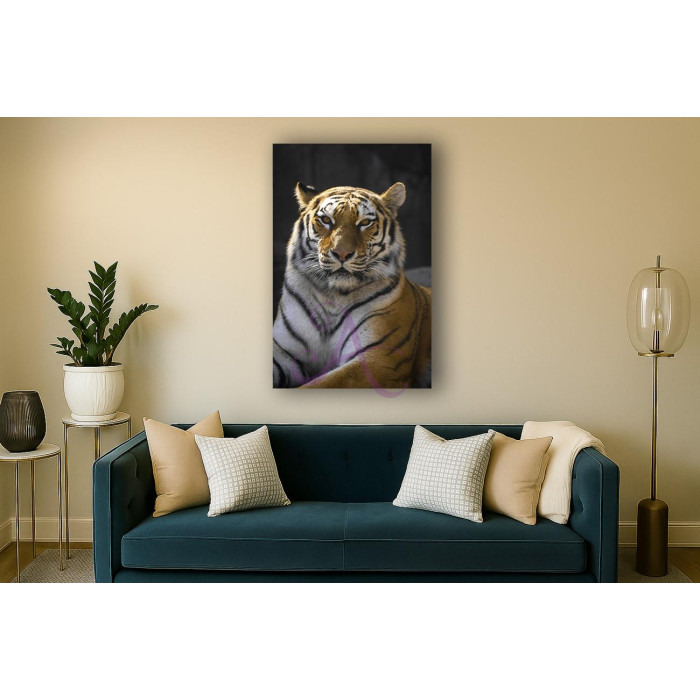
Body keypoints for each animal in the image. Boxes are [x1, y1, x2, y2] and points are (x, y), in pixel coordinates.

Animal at [273, 181, 431, 389]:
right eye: (326, 220)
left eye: (364, 223)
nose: (341, 253)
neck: (333, 296)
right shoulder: (282, 351)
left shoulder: (380, 359)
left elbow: (321, 385)